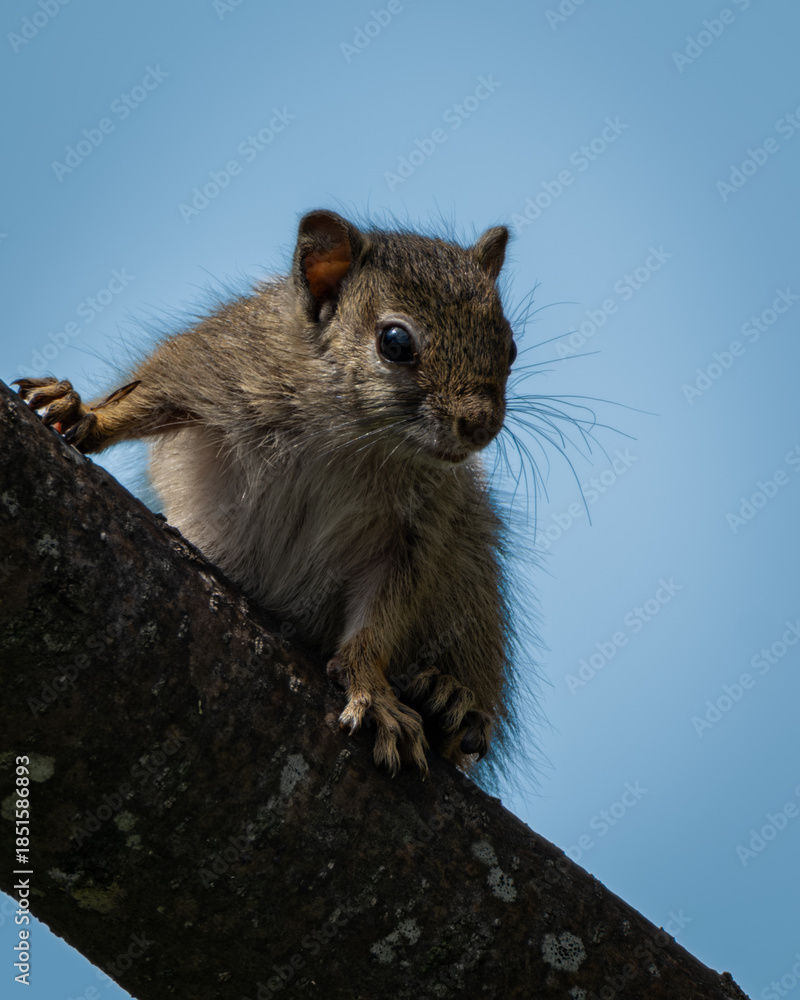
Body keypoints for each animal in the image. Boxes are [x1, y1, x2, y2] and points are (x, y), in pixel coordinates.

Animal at [15, 210, 524, 780]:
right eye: (395, 342)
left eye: (510, 347)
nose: (480, 425)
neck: (355, 435)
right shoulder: (224, 361)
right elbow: (154, 391)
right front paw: (84, 413)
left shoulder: (418, 529)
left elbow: (384, 617)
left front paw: (372, 689)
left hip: (470, 581)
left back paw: (449, 698)